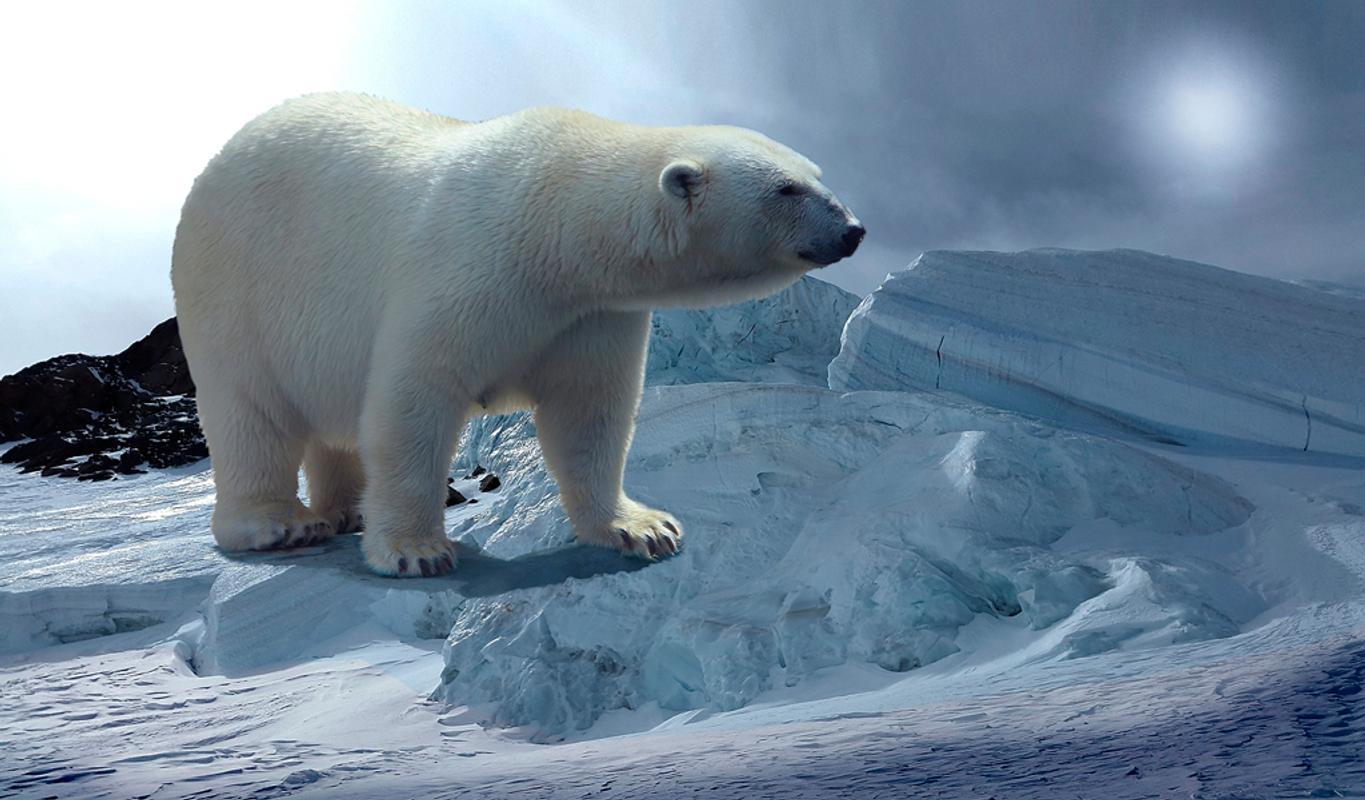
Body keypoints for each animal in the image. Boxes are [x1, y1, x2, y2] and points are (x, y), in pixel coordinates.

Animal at [171, 92, 863, 577]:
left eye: (817, 173)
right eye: (786, 188)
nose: (853, 229)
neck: (555, 224)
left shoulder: (589, 313)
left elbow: (589, 412)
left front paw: (642, 529)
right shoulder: (468, 267)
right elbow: (414, 399)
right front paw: (416, 551)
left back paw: (346, 509)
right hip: (236, 290)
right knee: (251, 412)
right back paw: (280, 523)